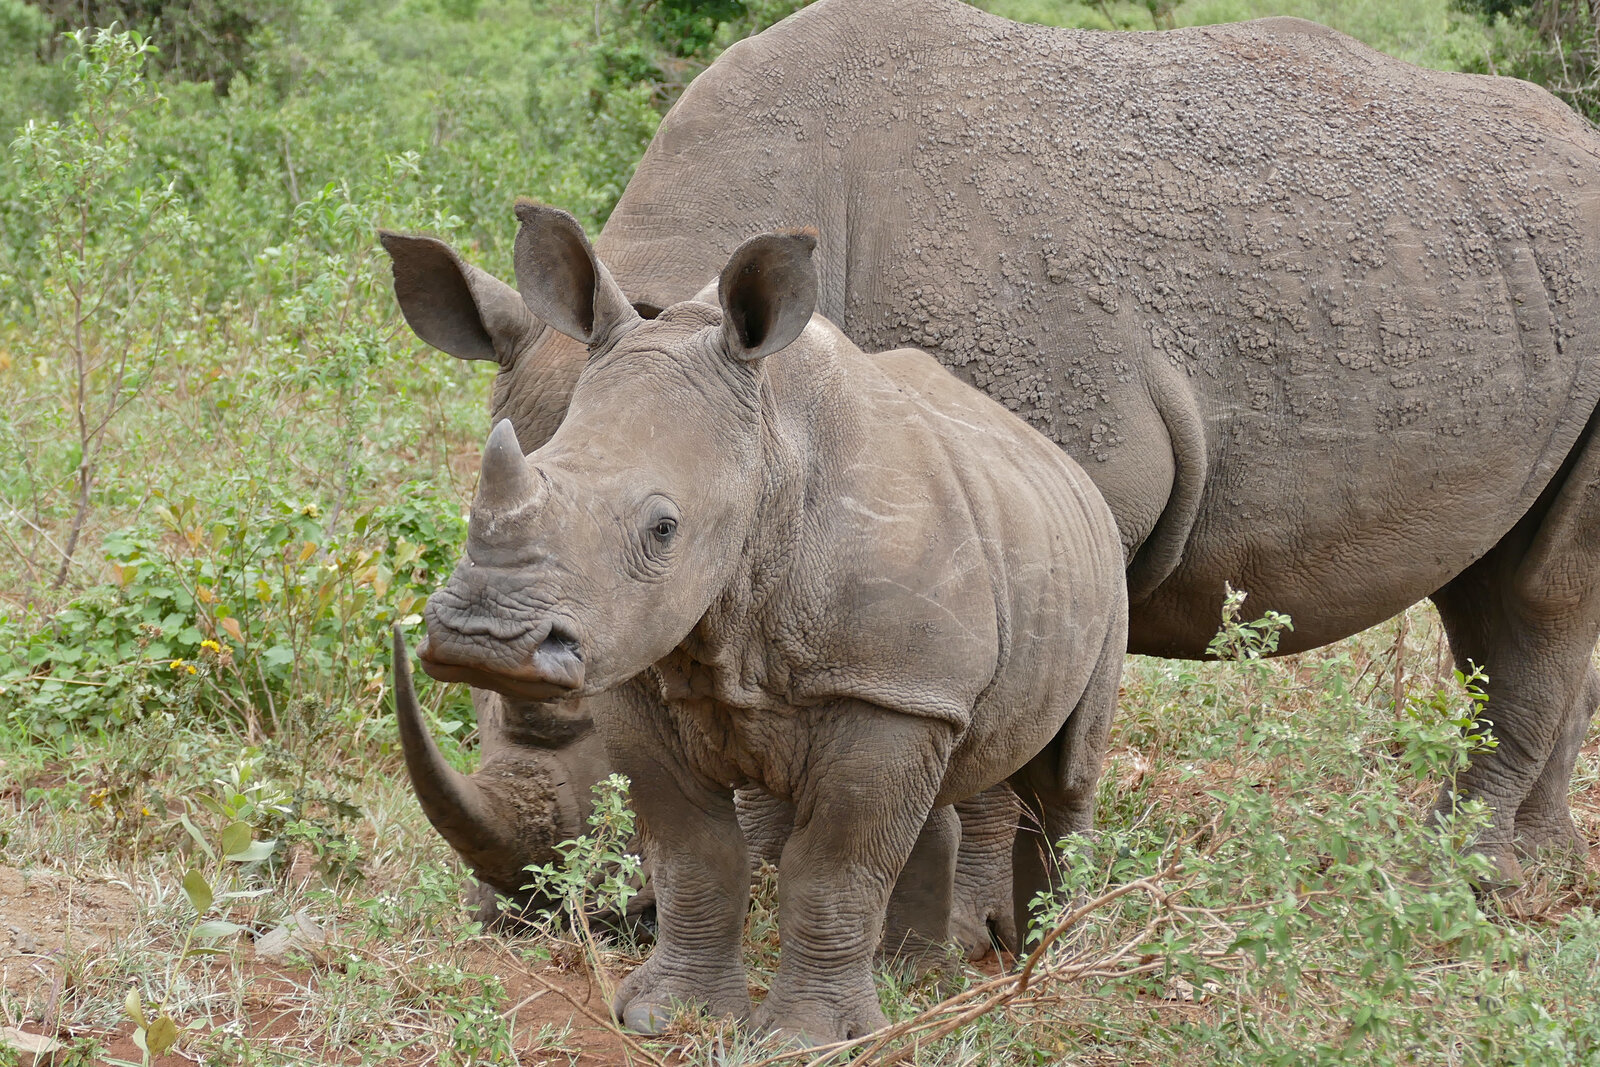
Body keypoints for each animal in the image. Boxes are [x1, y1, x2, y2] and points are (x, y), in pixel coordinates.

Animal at [385, 0, 1600, 935]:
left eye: (655, 542)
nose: (546, 909)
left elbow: (1006, 710)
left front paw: (965, 930)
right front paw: (788, 869)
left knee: (1537, 599)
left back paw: (1459, 885)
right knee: (1496, 591)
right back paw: (1528, 872)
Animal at [407, 207, 1127, 1042]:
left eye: (663, 528)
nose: (482, 643)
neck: (769, 459)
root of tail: (1066, 466)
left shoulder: (883, 687)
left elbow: (833, 867)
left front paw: (805, 1037)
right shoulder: (649, 676)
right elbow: (696, 853)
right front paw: (664, 1014)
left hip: (1097, 565)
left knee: (1064, 782)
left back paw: (1052, 961)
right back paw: (915, 981)